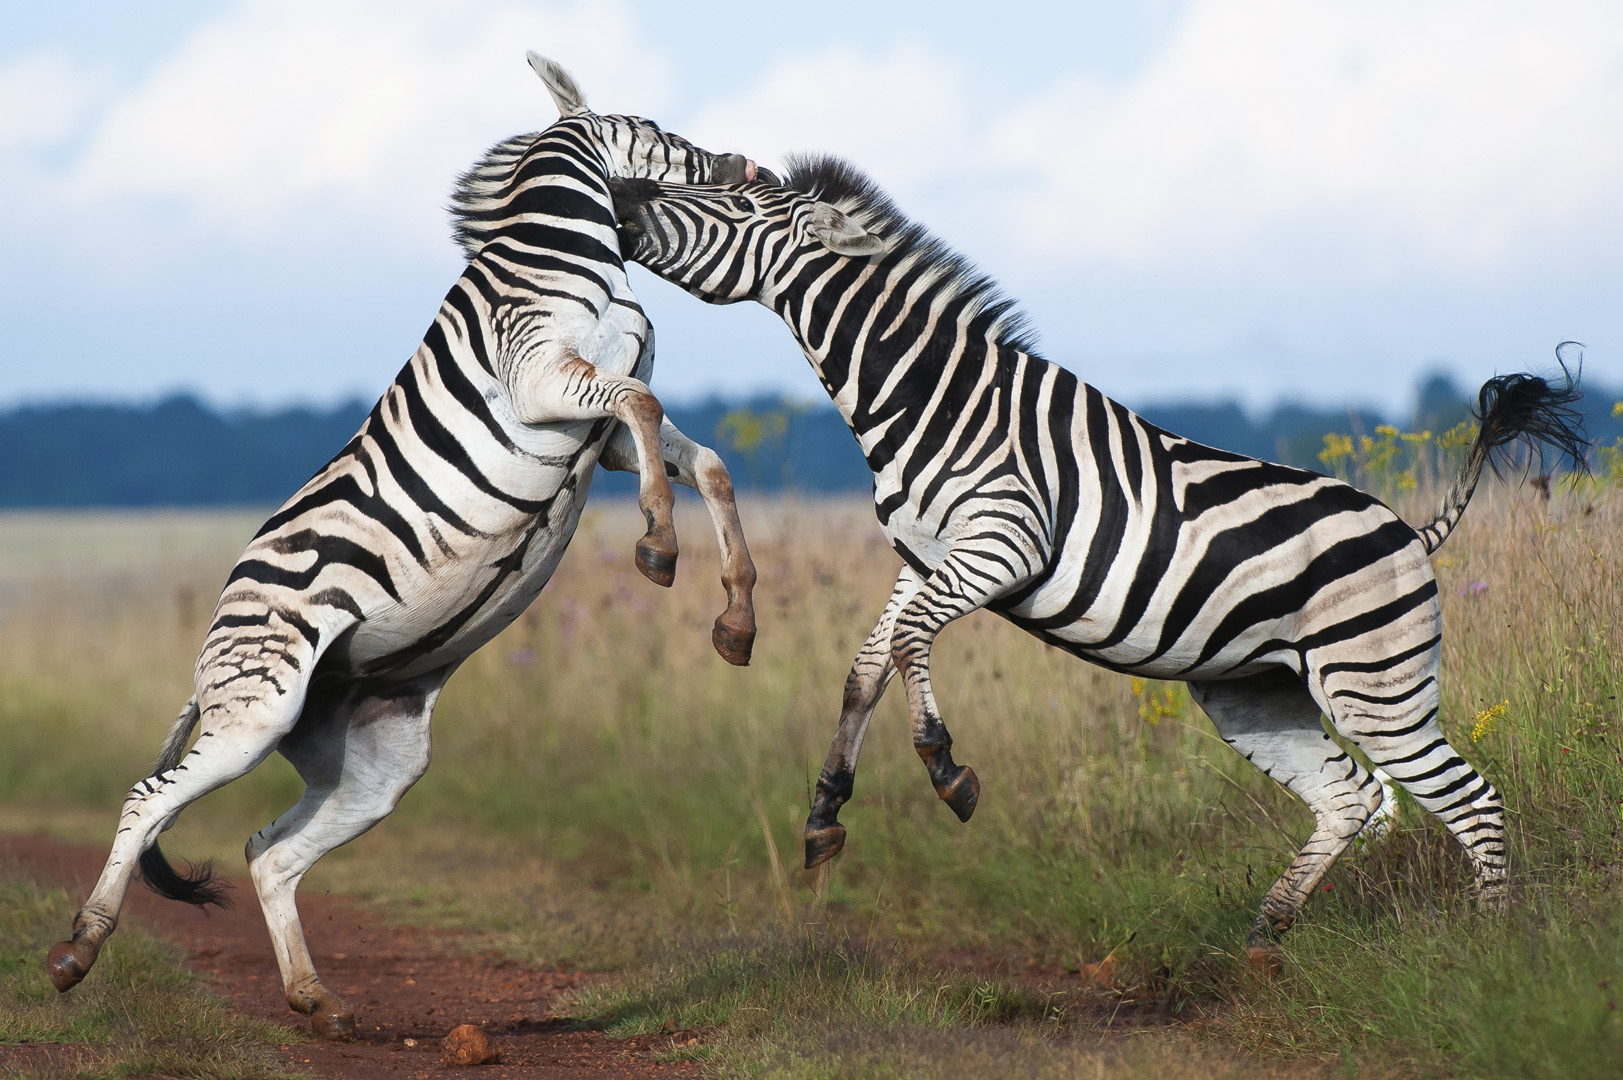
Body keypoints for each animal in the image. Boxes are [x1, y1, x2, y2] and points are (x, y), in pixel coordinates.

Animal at [46, 54, 761, 1038]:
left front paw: (736, 616)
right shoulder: (545, 382)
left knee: (268, 850)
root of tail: (216, 646)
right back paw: (79, 952)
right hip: (255, 712)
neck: (572, 256)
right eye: (657, 128)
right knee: (147, 800)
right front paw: (656, 546)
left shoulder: (600, 429)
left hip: (373, 763)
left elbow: (709, 463)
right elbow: (647, 410)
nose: (750, 165)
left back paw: (318, 1001)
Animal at [609, 159, 1589, 961]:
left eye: (732, 203)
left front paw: (945, 769)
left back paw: (1490, 951)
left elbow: (910, 645)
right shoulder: (923, 557)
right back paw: (1266, 933)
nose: (619, 198)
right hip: (1254, 695)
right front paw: (822, 815)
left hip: (1374, 684)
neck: (929, 398)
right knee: (1348, 797)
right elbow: (865, 666)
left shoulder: (1002, 542)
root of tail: (1412, 533)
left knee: (1471, 800)